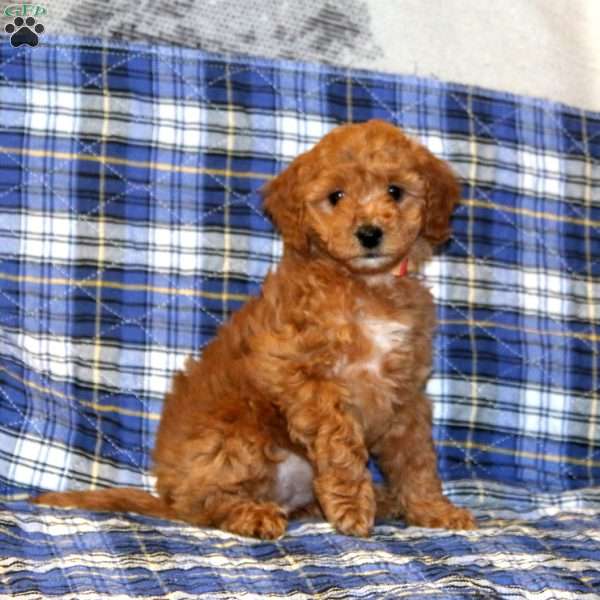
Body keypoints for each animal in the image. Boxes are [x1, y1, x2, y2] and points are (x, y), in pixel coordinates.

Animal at [34, 119, 474, 536]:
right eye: (336, 197)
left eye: (395, 192)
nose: (369, 233)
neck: (367, 285)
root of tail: (169, 497)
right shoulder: (306, 378)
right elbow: (341, 444)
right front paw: (352, 508)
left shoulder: (405, 393)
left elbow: (416, 460)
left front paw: (433, 510)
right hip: (236, 435)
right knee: (206, 506)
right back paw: (252, 514)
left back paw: (380, 501)